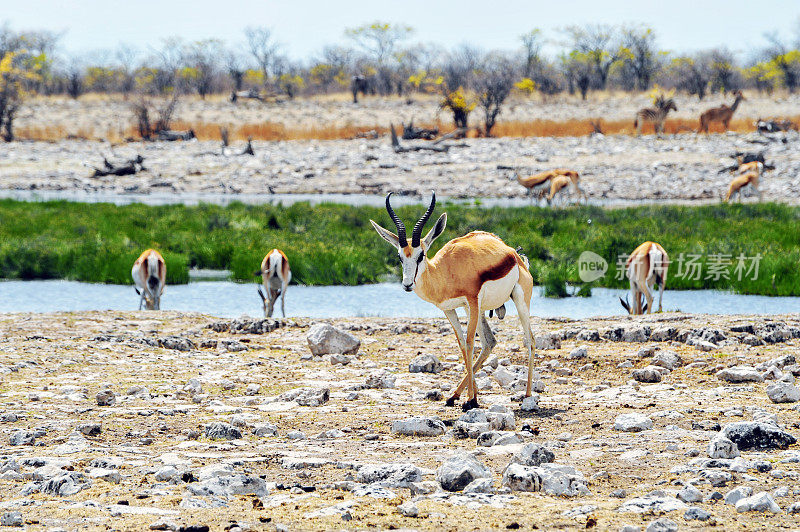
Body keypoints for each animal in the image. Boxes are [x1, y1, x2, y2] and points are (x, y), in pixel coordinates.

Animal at [370, 192, 536, 412]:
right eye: (399, 257)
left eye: (421, 255)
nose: (407, 285)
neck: (446, 272)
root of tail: (514, 254)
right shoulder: (451, 309)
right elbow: (462, 344)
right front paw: (468, 398)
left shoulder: (472, 301)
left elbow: (469, 342)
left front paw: (471, 400)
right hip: (480, 311)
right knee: (489, 342)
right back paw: (455, 395)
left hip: (518, 301)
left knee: (530, 340)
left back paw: (527, 396)